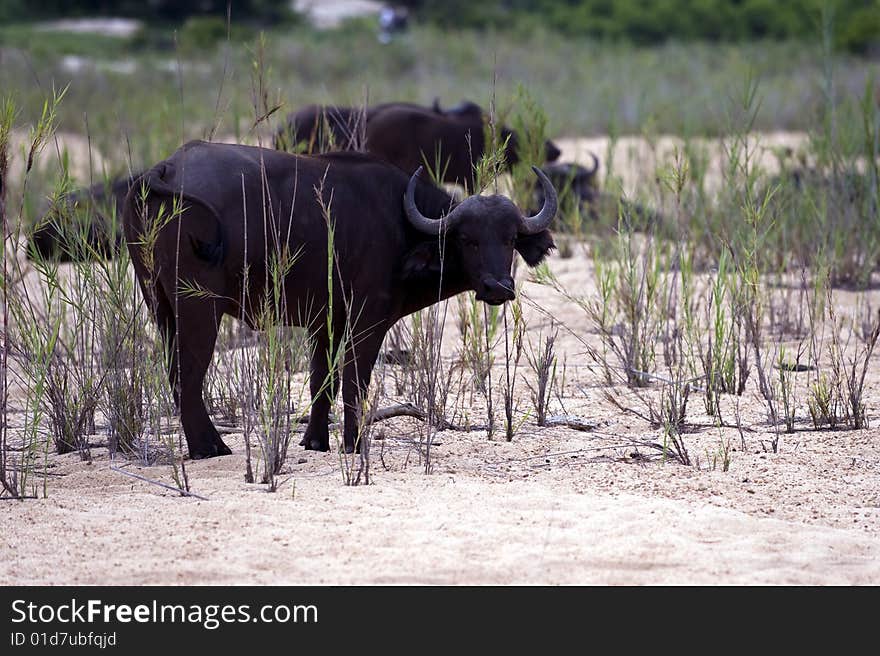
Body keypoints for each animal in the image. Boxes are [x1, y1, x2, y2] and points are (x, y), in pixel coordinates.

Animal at [122, 141, 556, 458]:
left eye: (510, 239)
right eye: (468, 239)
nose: (498, 287)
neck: (397, 223)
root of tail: (167, 168)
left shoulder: (325, 321)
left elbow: (321, 381)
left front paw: (315, 440)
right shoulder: (368, 318)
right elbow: (354, 381)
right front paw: (354, 442)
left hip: (160, 305)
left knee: (175, 373)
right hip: (199, 307)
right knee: (188, 375)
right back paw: (208, 447)